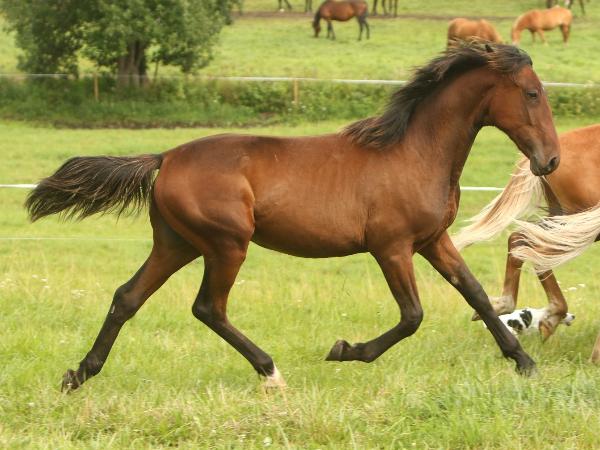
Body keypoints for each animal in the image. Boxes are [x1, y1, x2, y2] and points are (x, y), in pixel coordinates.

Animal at [26, 43, 560, 391]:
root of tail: (165, 157)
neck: (414, 152)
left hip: (177, 243)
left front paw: (525, 363)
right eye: (532, 93)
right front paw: (345, 350)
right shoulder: (391, 247)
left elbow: (477, 296)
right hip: (226, 245)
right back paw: (271, 372)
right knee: (208, 307)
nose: (550, 161)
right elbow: (412, 315)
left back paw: (78, 374)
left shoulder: (433, 240)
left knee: (127, 297)